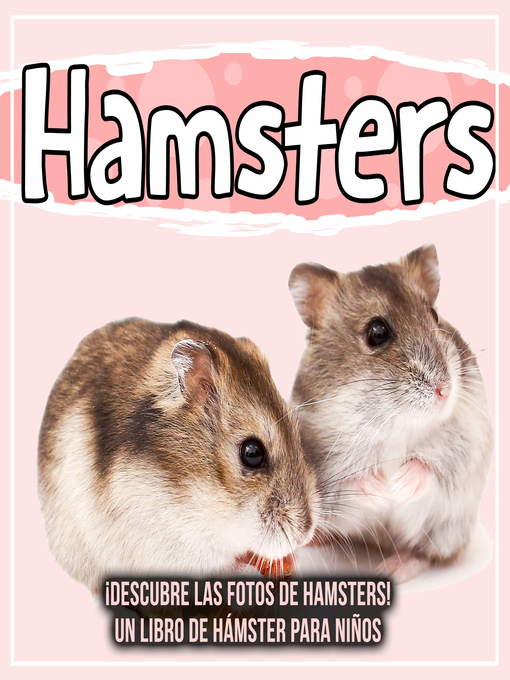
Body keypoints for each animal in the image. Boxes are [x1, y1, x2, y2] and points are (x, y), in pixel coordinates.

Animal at [288, 245, 493, 583]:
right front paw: (382, 487)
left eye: (434, 315)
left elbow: (429, 464)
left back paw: (395, 567)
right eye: (377, 332)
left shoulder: (464, 442)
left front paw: (397, 486)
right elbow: (353, 480)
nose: (446, 390)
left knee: (428, 555)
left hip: (446, 531)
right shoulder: (327, 468)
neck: (396, 421)